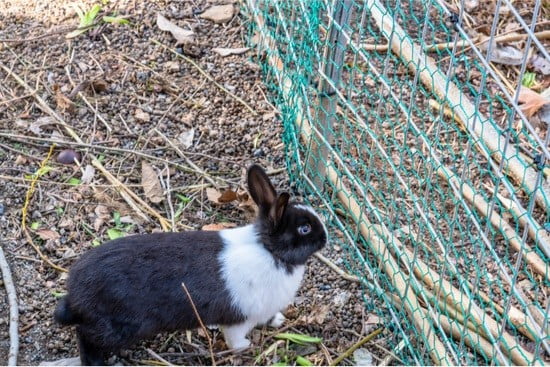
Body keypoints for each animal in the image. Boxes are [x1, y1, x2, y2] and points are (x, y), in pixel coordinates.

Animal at [52, 165, 328, 366]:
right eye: (304, 228)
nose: (325, 238)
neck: (270, 251)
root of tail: (76, 294)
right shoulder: (240, 320)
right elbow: (234, 339)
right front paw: (246, 348)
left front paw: (278, 321)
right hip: (119, 328)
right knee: (86, 337)